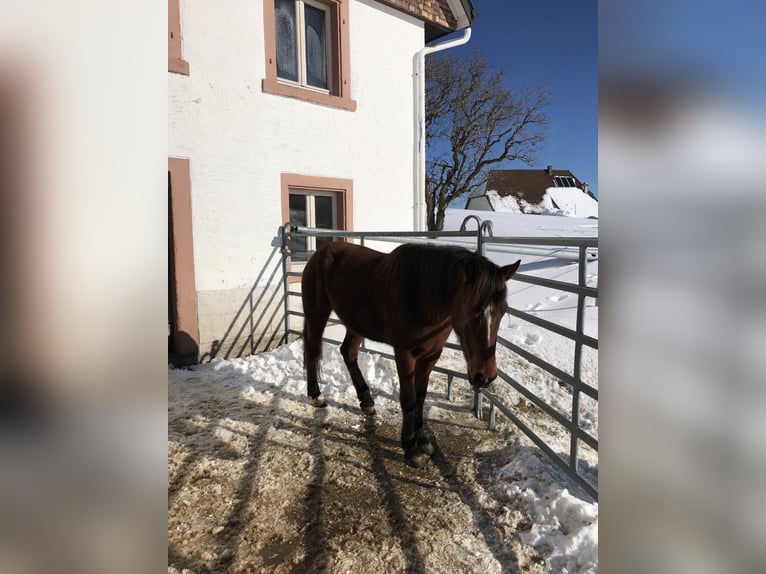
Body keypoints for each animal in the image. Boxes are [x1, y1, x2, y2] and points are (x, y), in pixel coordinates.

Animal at [302, 241, 520, 470]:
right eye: (471, 308)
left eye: (503, 310)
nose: (485, 376)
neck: (422, 298)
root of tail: (321, 252)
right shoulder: (405, 355)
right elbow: (408, 399)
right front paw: (410, 448)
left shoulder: (431, 356)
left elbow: (421, 397)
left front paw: (422, 440)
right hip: (317, 314)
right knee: (313, 350)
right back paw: (316, 395)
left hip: (355, 324)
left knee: (348, 353)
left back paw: (367, 401)